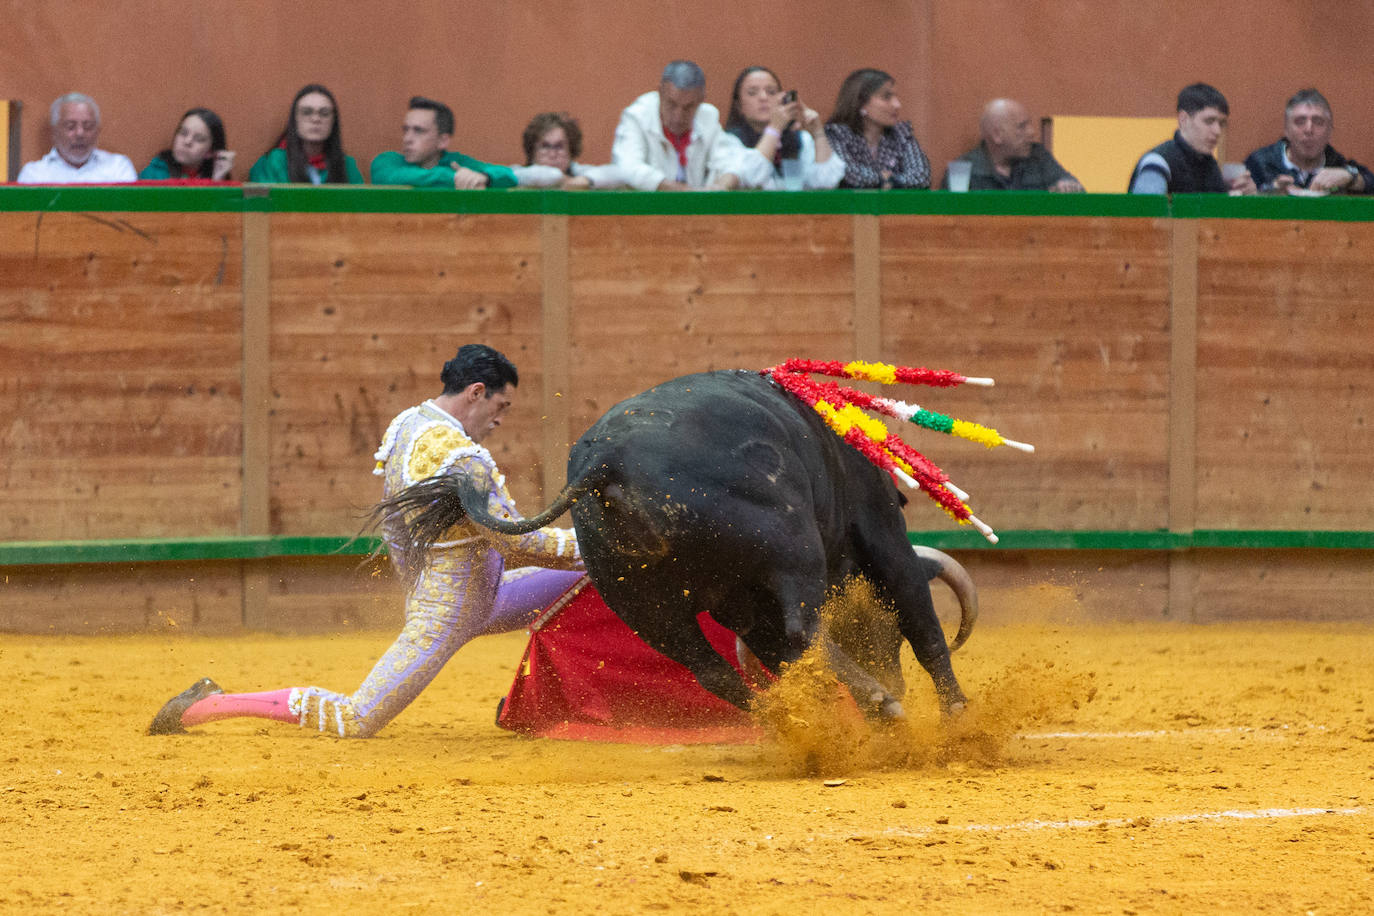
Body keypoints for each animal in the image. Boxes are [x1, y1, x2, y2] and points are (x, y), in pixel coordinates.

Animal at [384, 368, 978, 719]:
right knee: (802, 632)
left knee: (717, 668)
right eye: (882, 634)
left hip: (645, 606)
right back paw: (874, 704)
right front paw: (956, 715)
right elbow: (924, 628)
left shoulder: (743, 607)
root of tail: (608, 460)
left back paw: (786, 717)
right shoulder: (884, 540)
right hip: (793, 550)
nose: (892, 679)